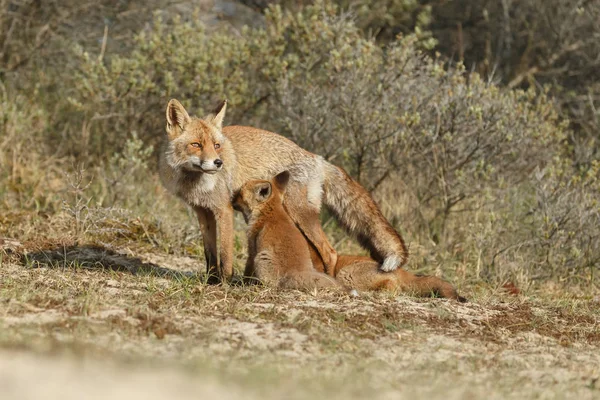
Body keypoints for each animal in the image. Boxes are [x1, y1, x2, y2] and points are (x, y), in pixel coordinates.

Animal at [159, 99, 408, 282]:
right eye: (196, 145)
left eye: (216, 145)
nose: (218, 163)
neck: (196, 184)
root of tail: (317, 157)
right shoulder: (203, 212)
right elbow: (210, 255)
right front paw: (210, 281)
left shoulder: (224, 210)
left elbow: (225, 254)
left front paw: (225, 283)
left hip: (299, 213)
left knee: (330, 252)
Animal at [233, 171, 464, 300]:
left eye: (240, 193)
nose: (230, 198)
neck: (272, 211)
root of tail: (402, 270)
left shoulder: (253, 248)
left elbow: (248, 267)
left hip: (347, 274)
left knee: (391, 287)